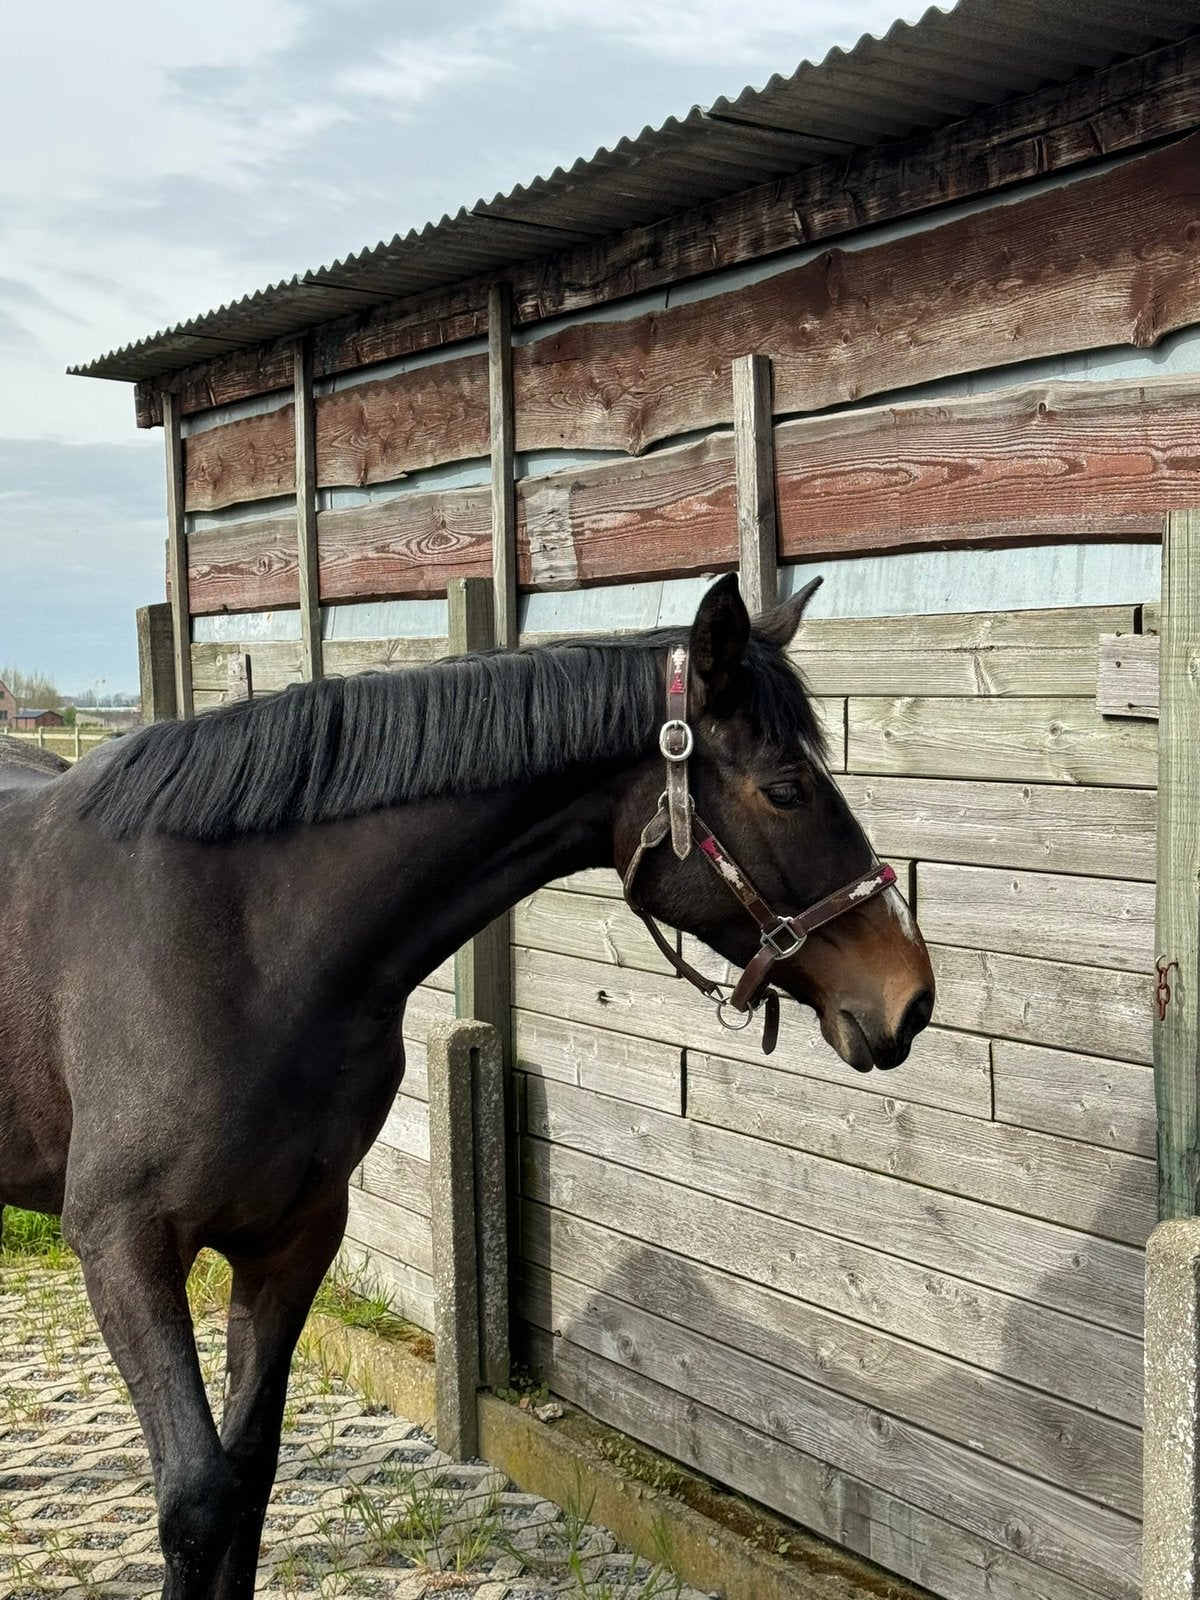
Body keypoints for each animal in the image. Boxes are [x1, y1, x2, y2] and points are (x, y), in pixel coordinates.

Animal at [0, 575, 934, 1599]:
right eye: (786, 789)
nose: (911, 995)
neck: (240, 940)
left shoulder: (292, 1239)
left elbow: (246, 1481)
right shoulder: (122, 1245)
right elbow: (198, 1502)